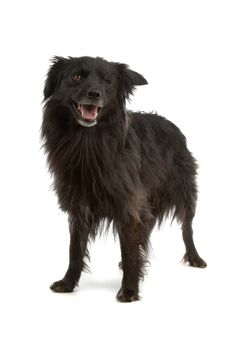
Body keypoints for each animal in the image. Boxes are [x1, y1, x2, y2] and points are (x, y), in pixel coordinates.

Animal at [41, 55, 207, 300]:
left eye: (107, 81)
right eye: (76, 76)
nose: (94, 93)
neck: (87, 142)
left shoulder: (128, 203)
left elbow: (129, 248)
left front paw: (129, 289)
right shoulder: (79, 207)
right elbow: (75, 249)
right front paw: (68, 282)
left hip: (184, 191)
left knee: (187, 229)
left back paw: (195, 257)